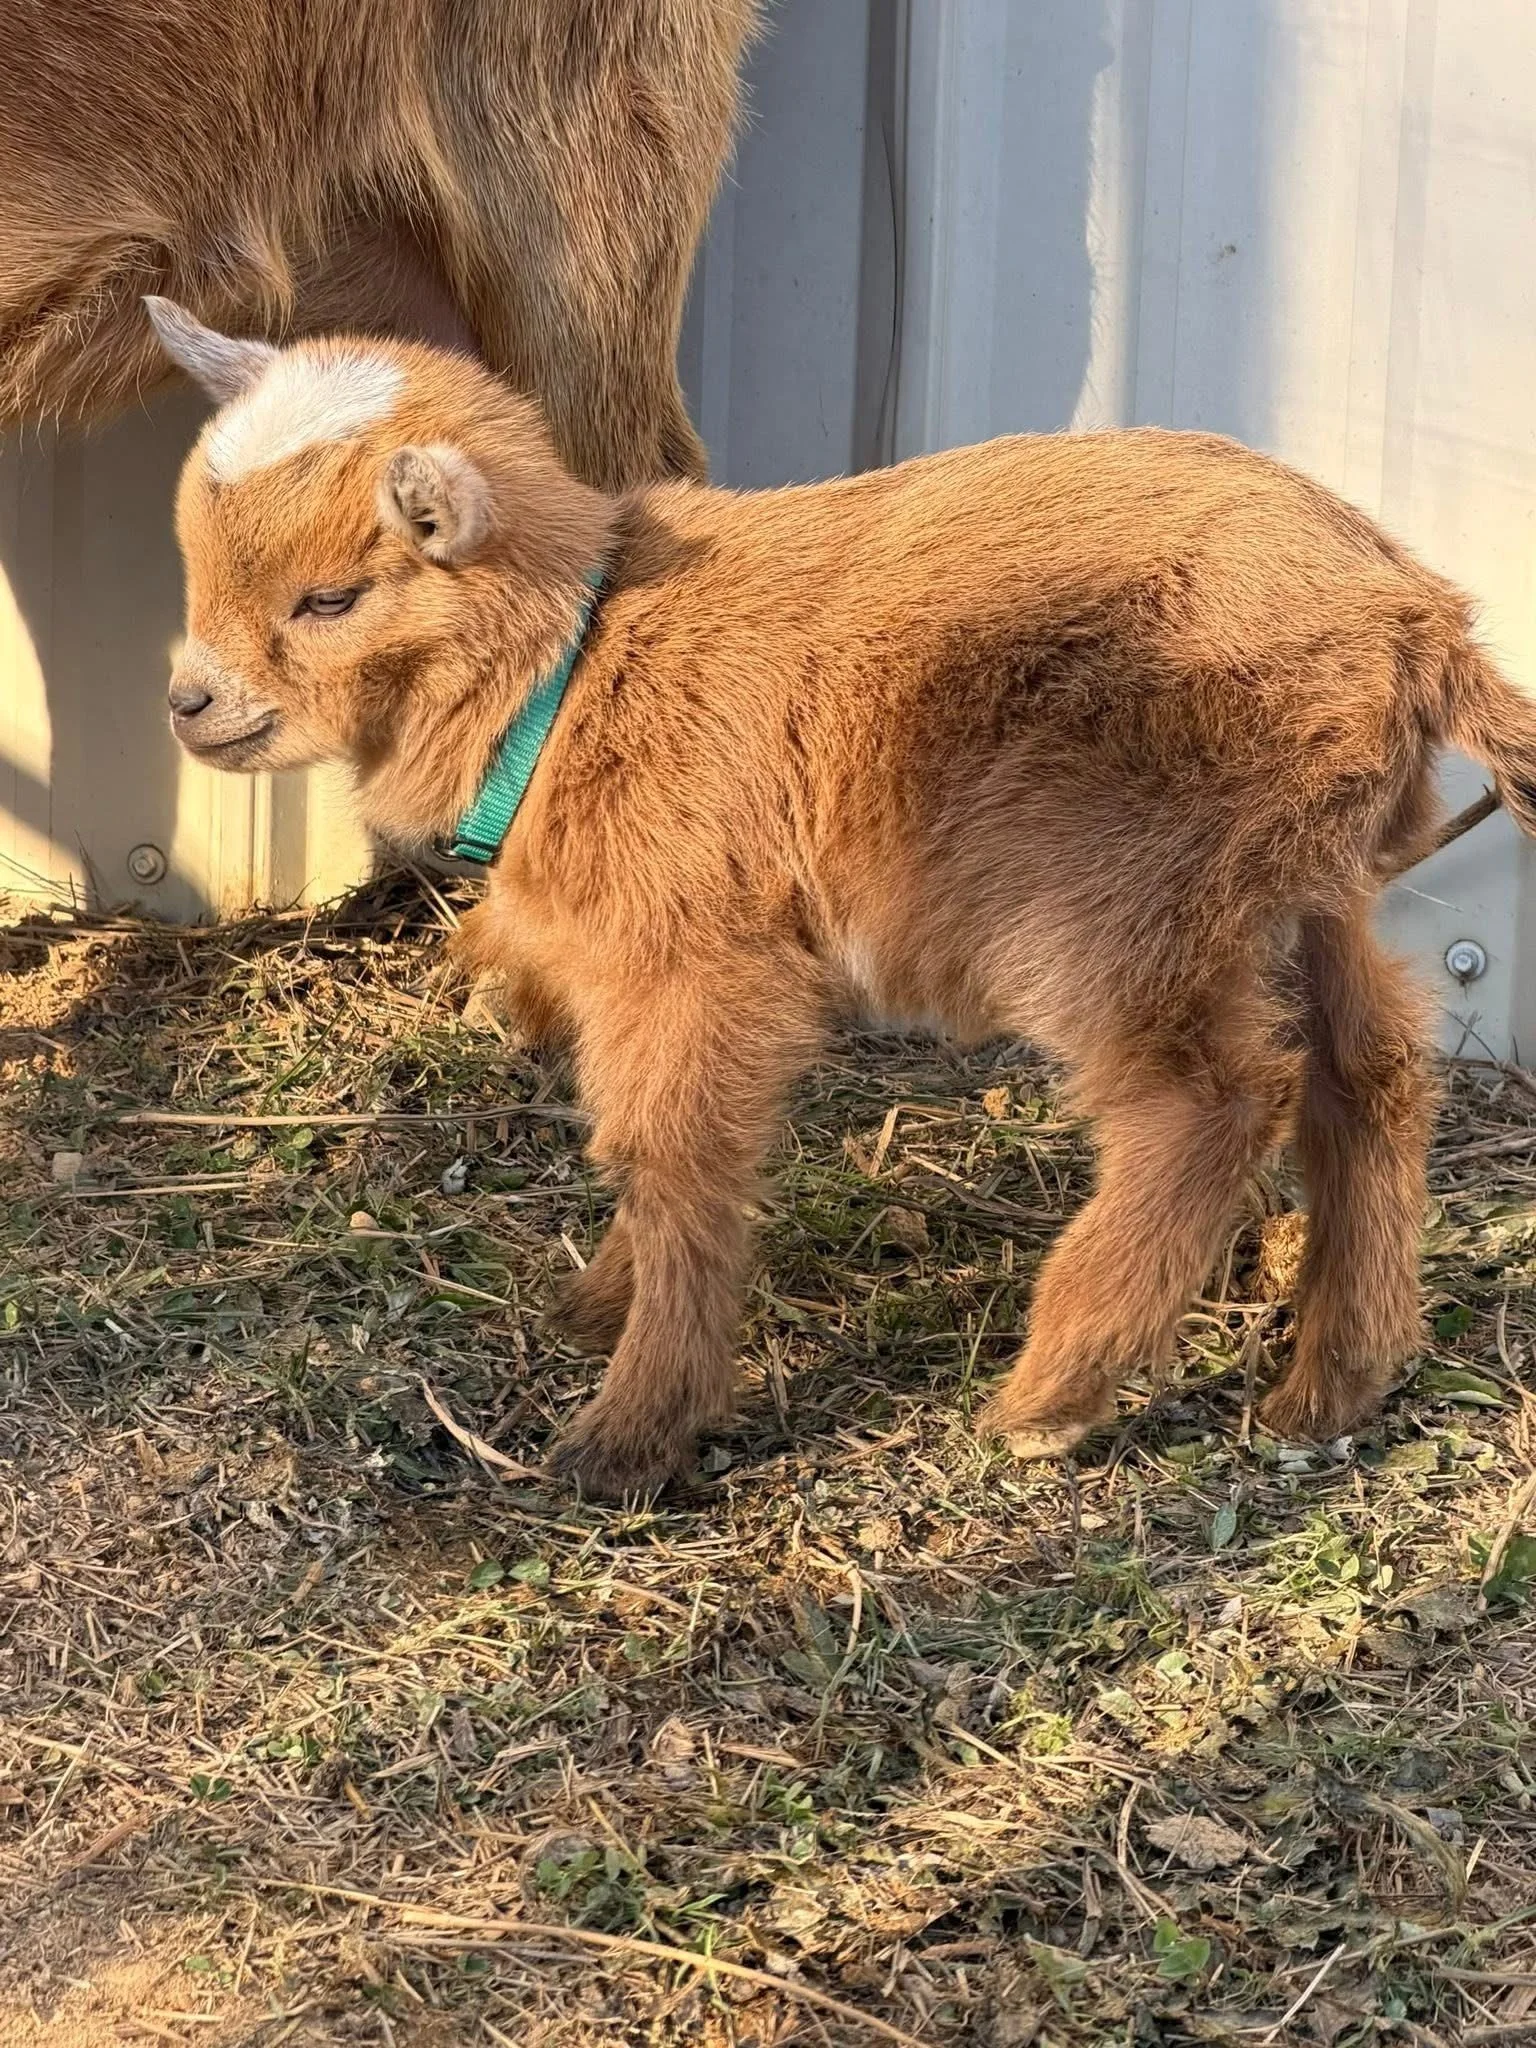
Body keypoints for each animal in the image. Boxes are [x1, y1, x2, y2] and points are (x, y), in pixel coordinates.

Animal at [146, 302, 1536, 1498]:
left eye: (330, 597)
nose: (189, 704)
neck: (578, 665)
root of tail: (1416, 619)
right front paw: (599, 1306)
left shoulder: (699, 956)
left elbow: (675, 1154)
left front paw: (627, 1430)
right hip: (1303, 875)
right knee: (1372, 1072)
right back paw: (1334, 1381)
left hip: (1120, 886)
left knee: (1212, 1098)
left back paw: (1055, 1388)